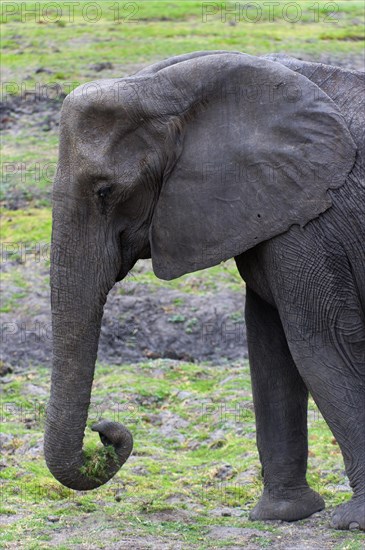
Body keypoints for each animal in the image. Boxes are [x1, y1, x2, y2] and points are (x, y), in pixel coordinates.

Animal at [45, 50, 364, 532]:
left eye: (105, 191)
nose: (104, 432)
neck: (162, 89)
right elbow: (269, 345)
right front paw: (281, 515)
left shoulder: (314, 222)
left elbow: (320, 344)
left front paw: (352, 521)